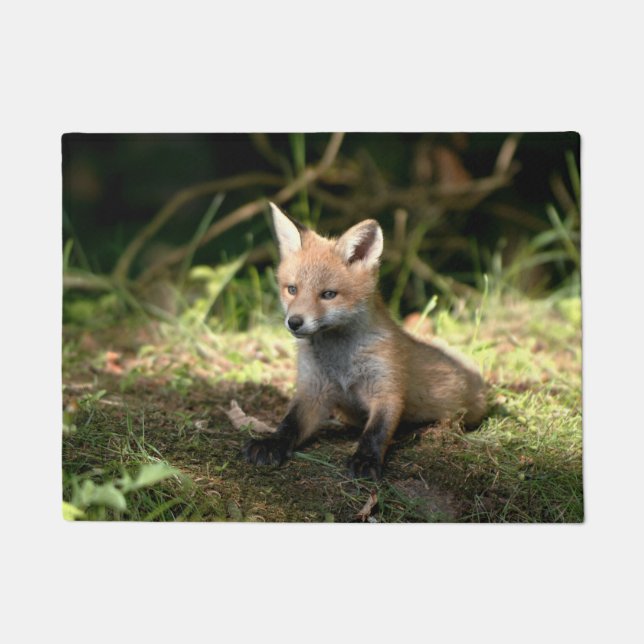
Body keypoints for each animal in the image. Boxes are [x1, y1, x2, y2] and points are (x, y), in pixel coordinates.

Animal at [243, 202, 486, 480]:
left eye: (328, 294)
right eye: (292, 289)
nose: (294, 322)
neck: (341, 361)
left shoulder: (386, 389)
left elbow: (376, 432)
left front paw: (366, 459)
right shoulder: (313, 390)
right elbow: (289, 424)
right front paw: (271, 443)